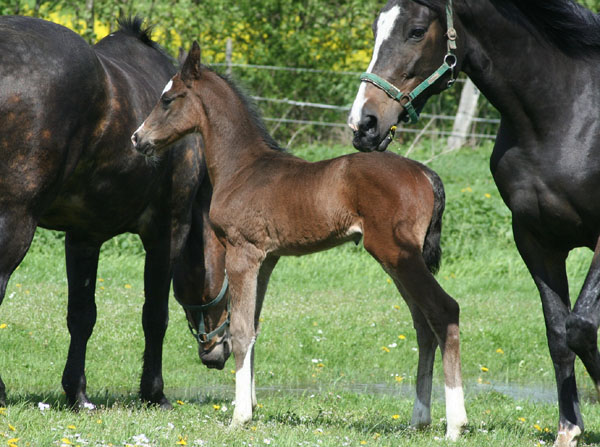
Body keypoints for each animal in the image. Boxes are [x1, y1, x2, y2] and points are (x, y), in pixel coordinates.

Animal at [0, 16, 227, 410]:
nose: (221, 353)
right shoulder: (169, 230)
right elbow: (155, 314)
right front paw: (154, 393)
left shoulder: (84, 237)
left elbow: (82, 315)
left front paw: (77, 393)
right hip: (16, 220)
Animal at [132, 42, 468, 440]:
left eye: (168, 99)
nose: (137, 138)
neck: (242, 168)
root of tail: (427, 173)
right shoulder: (267, 259)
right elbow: (253, 326)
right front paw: (251, 405)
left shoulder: (242, 253)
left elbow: (240, 330)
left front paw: (239, 416)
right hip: (396, 261)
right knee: (423, 324)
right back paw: (420, 418)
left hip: (396, 254)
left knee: (444, 311)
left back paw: (455, 423)